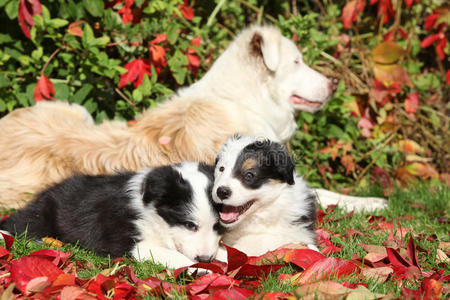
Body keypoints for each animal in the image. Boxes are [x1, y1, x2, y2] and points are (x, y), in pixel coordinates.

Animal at [0, 25, 386, 211]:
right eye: (296, 61)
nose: (334, 84)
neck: (242, 99)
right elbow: (323, 192)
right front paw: (373, 202)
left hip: (70, 109)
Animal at [0, 163, 223, 268]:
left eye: (218, 226)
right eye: (189, 225)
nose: (205, 259)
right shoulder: (125, 241)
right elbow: (170, 254)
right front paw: (202, 269)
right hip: (42, 214)